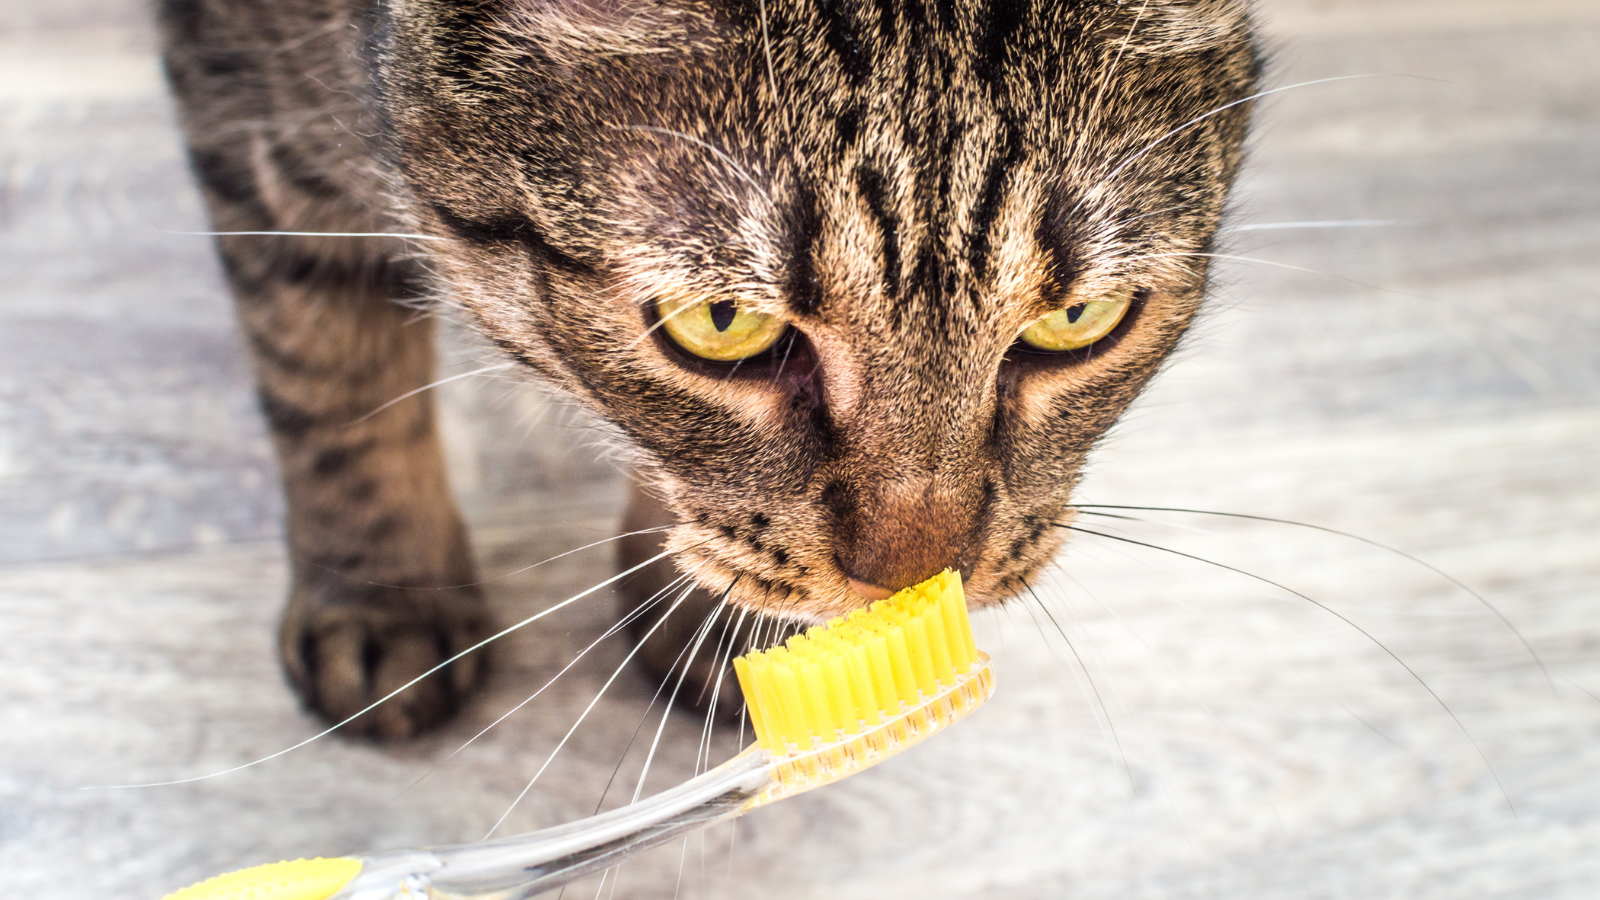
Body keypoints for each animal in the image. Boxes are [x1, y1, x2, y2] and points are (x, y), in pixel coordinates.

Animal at [159, 0, 1260, 736]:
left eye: (1079, 319)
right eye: (721, 324)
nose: (912, 577)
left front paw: (722, 625)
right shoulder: (251, 123)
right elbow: (330, 384)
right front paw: (379, 594)